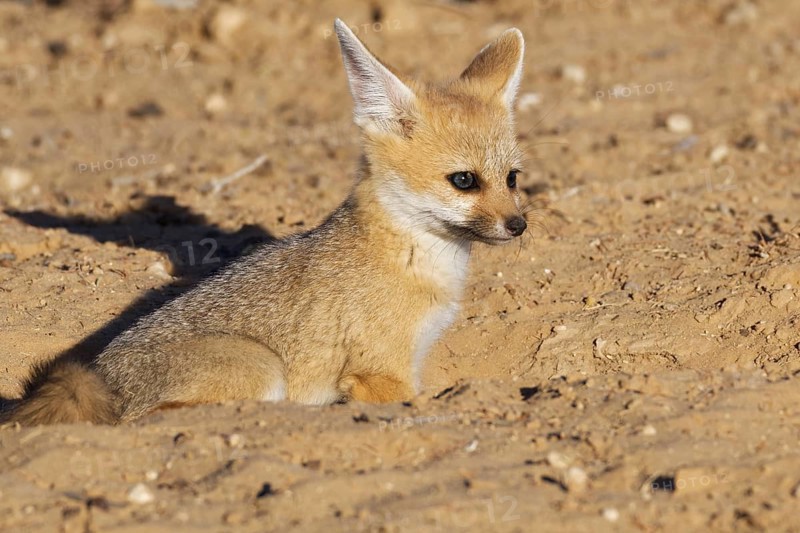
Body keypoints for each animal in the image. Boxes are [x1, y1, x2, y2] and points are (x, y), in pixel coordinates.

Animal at [4, 20, 529, 425]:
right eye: (464, 181)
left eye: (512, 178)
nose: (519, 225)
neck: (416, 258)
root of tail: (103, 376)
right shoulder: (382, 372)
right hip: (264, 370)